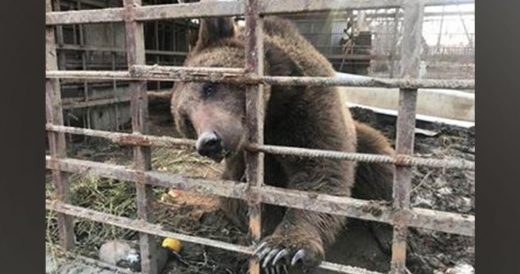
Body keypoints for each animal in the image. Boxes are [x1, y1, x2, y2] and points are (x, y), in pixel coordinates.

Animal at [171, 16, 394, 272]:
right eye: (186, 120)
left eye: (209, 87)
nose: (208, 141)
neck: (272, 110)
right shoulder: (243, 164)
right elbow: (247, 200)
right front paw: (269, 248)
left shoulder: (306, 106)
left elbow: (320, 171)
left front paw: (284, 249)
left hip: (360, 136)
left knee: (378, 163)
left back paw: (387, 233)